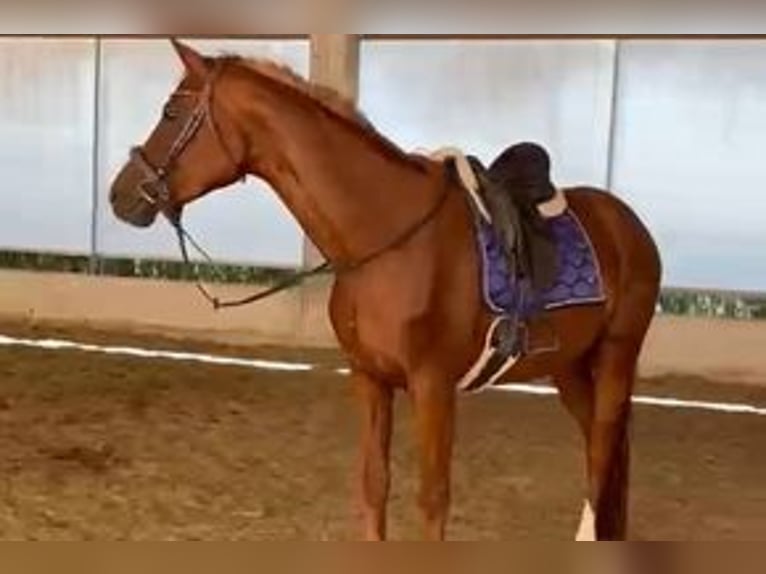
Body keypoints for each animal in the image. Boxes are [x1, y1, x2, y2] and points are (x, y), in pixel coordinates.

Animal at [110, 40, 662, 541]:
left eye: (171, 112)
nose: (119, 194)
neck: (385, 235)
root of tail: (628, 223)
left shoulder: (433, 387)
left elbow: (433, 498)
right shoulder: (370, 379)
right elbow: (374, 484)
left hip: (617, 352)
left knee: (603, 449)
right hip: (568, 365)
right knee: (601, 445)